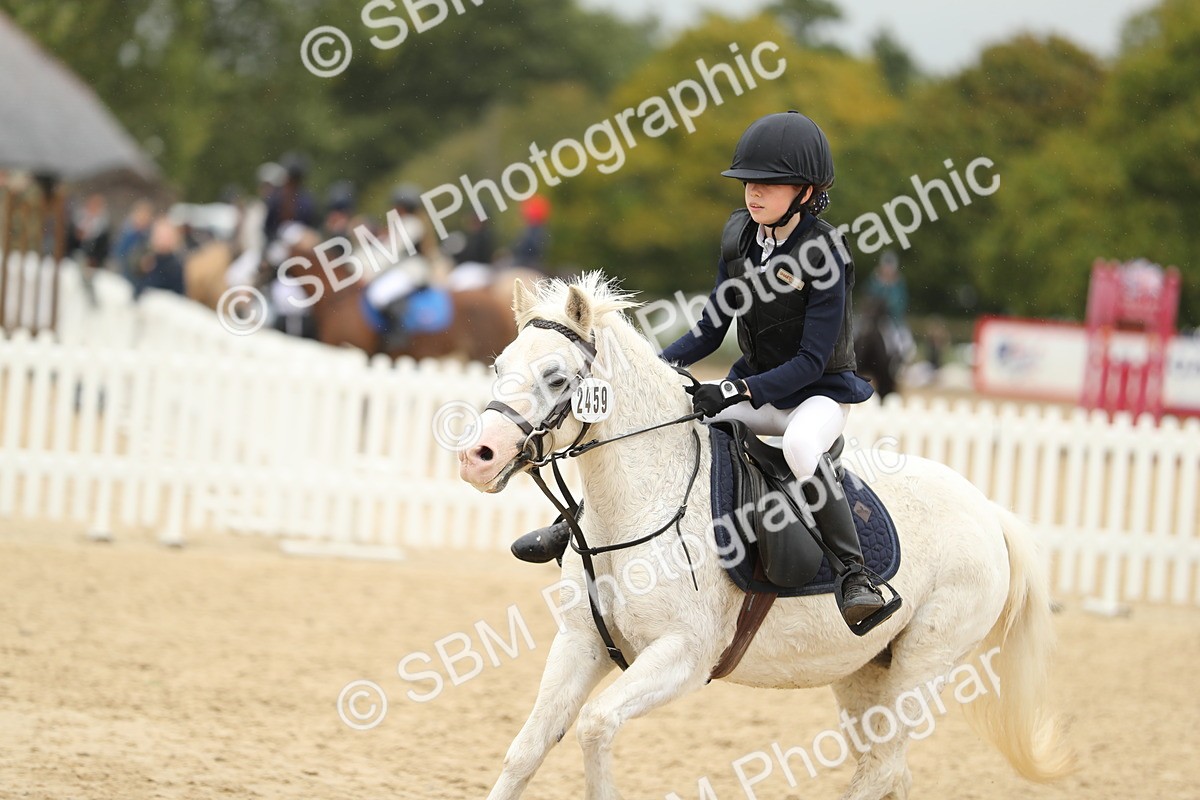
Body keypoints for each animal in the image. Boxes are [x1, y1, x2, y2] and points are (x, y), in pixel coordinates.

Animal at [458, 273, 1074, 800]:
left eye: (557, 378)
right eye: (499, 365)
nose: (477, 457)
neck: (637, 503)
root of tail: (989, 511)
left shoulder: (683, 656)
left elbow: (595, 724)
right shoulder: (580, 645)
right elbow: (526, 749)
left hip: (922, 667)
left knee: (880, 769)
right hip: (864, 673)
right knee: (890, 771)